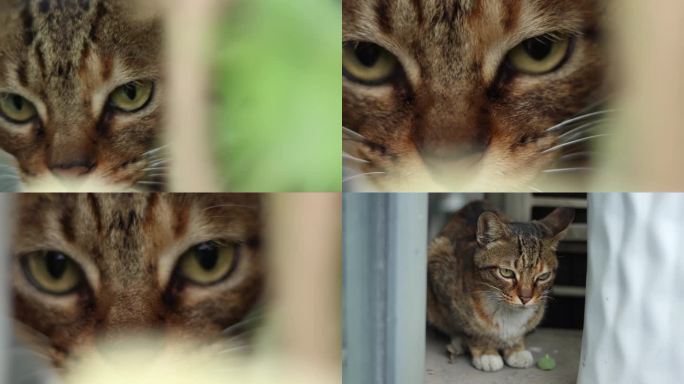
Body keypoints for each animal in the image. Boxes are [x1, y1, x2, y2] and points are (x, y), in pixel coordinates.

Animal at [428, 201, 572, 372]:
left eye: (543, 276)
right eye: (506, 272)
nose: (526, 298)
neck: (507, 312)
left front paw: (516, 349)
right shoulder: (446, 286)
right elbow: (469, 328)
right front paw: (486, 352)